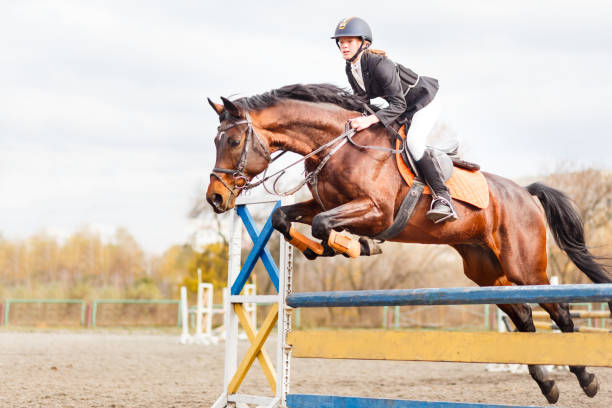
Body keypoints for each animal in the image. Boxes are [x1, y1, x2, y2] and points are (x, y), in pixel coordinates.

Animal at [204, 83, 608, 404]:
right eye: (216, 141)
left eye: (234, 141)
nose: (216, 199)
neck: (337, 147)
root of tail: (525, 192)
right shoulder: (324, 203)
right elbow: (284, 218)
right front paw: (324, 248)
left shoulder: (377, 211)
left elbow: (322, 224)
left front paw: (355, 246)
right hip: (488, 273)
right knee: (524, 319)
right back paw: (548, 386)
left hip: (524, 267)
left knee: (561, 312)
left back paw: (586, 378)